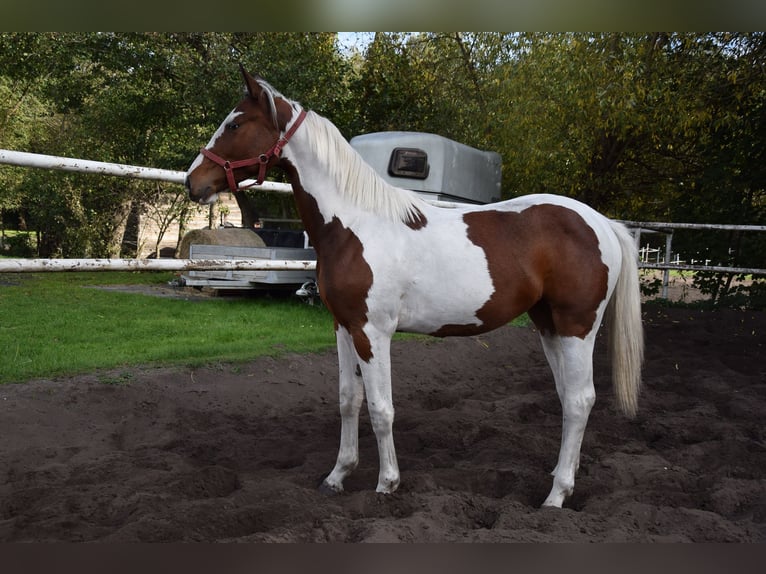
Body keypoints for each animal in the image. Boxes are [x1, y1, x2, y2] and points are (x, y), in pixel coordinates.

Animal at [185, 66, 644, 508]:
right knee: (568, 397)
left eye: (234, 124)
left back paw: (556, 496)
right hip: (548, 324)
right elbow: (348, 399)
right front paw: (337, 477)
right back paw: (562, 478)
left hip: (577, 326)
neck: (354, 225)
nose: (194, 182)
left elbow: (381, 408)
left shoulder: (373, 333)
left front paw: (386, 484)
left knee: (581, 399)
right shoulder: (343, 327)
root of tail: (601, 222)